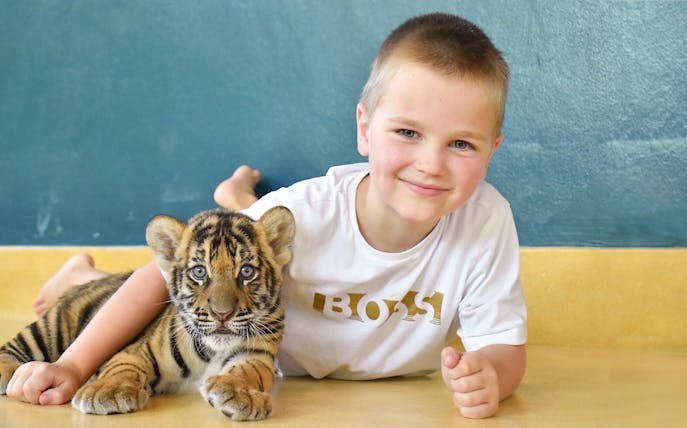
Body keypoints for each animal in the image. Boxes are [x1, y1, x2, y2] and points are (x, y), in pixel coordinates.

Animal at [0, 206, 295, 421]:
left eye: (246, 272)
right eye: (199, 272)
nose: (222, 314)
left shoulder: (257, 355)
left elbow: (247, 371)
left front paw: (238, 394)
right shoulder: (136, 351)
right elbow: (122, 369)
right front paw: (107, 391)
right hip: (52, 327)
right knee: (12, 347)